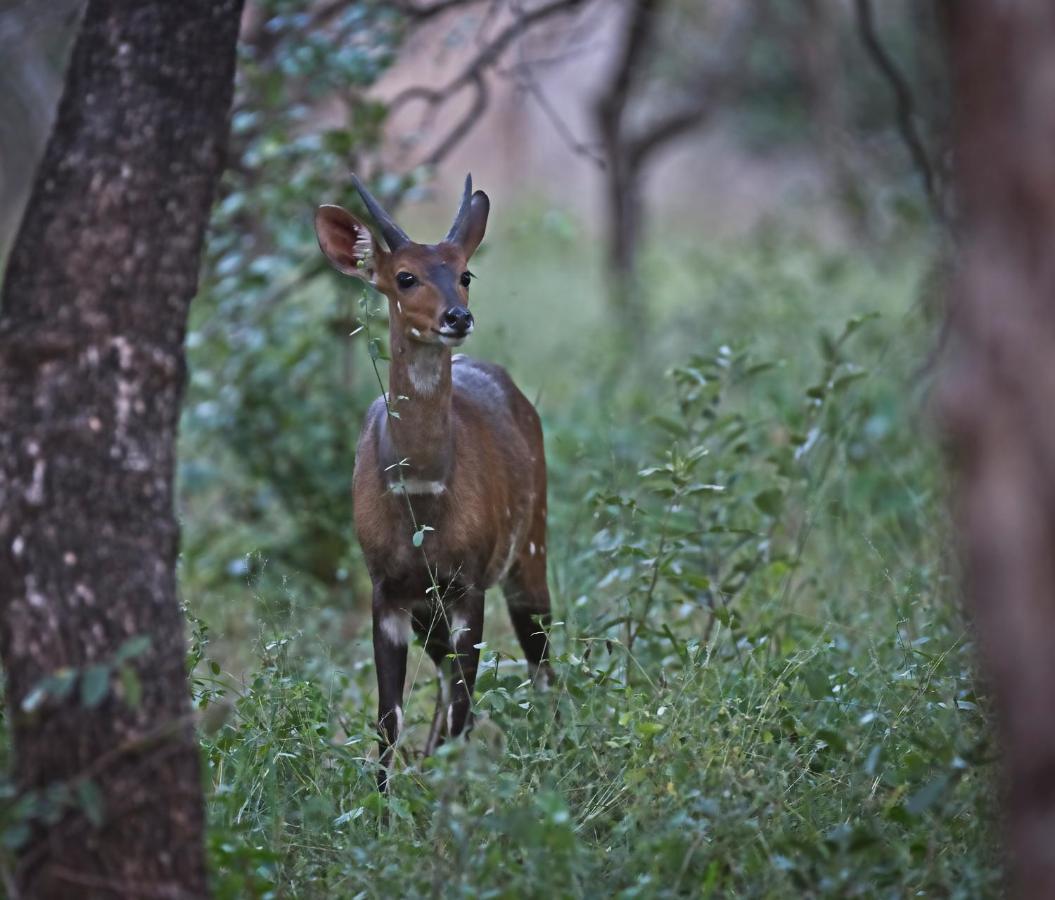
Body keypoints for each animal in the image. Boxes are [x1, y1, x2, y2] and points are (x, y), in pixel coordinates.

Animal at [314, 174, 552, 784]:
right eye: (405, 276)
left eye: (465, 273)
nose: (457, 318)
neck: (421, 499)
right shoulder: (388, 591)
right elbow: (387, 719)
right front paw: (384, 800)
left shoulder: (468, 585)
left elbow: (462, 708)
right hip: (434, 610)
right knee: (449, 684)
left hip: (530, 548)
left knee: (539, 660)